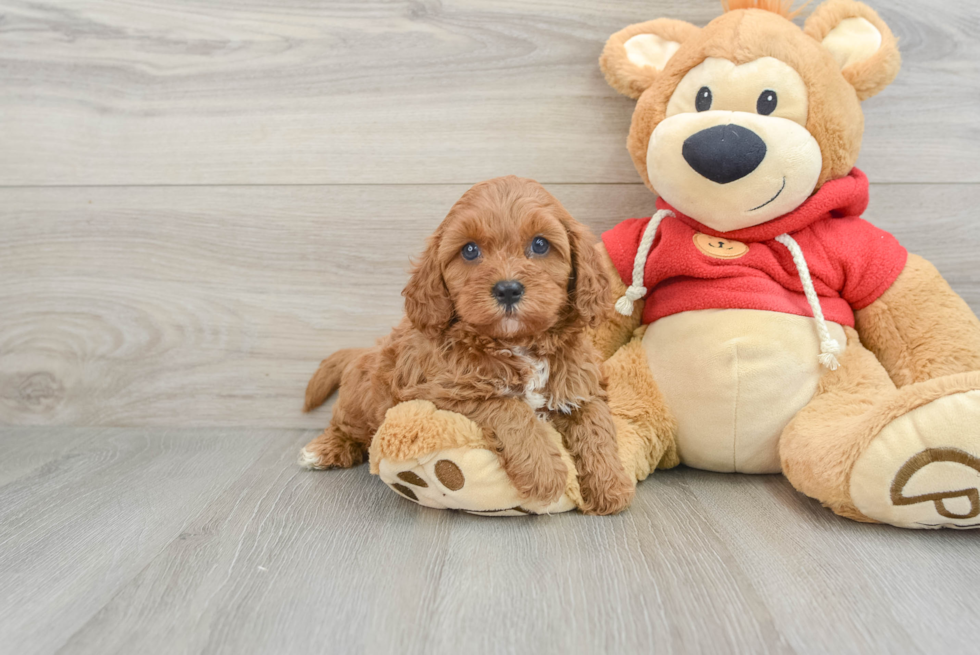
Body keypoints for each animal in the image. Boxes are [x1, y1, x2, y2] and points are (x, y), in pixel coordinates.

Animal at [304, 177, 636, 516]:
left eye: (540, 244)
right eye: (470, 250)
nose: (508, 289)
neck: (517, 343)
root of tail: (364, 351)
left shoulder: (580, 386)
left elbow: (597, 428)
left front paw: (611, 486)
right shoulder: (445, 392)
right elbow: (510, 408)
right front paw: (544, 473)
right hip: (362, 400)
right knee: (344, 426)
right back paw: (322, 450)